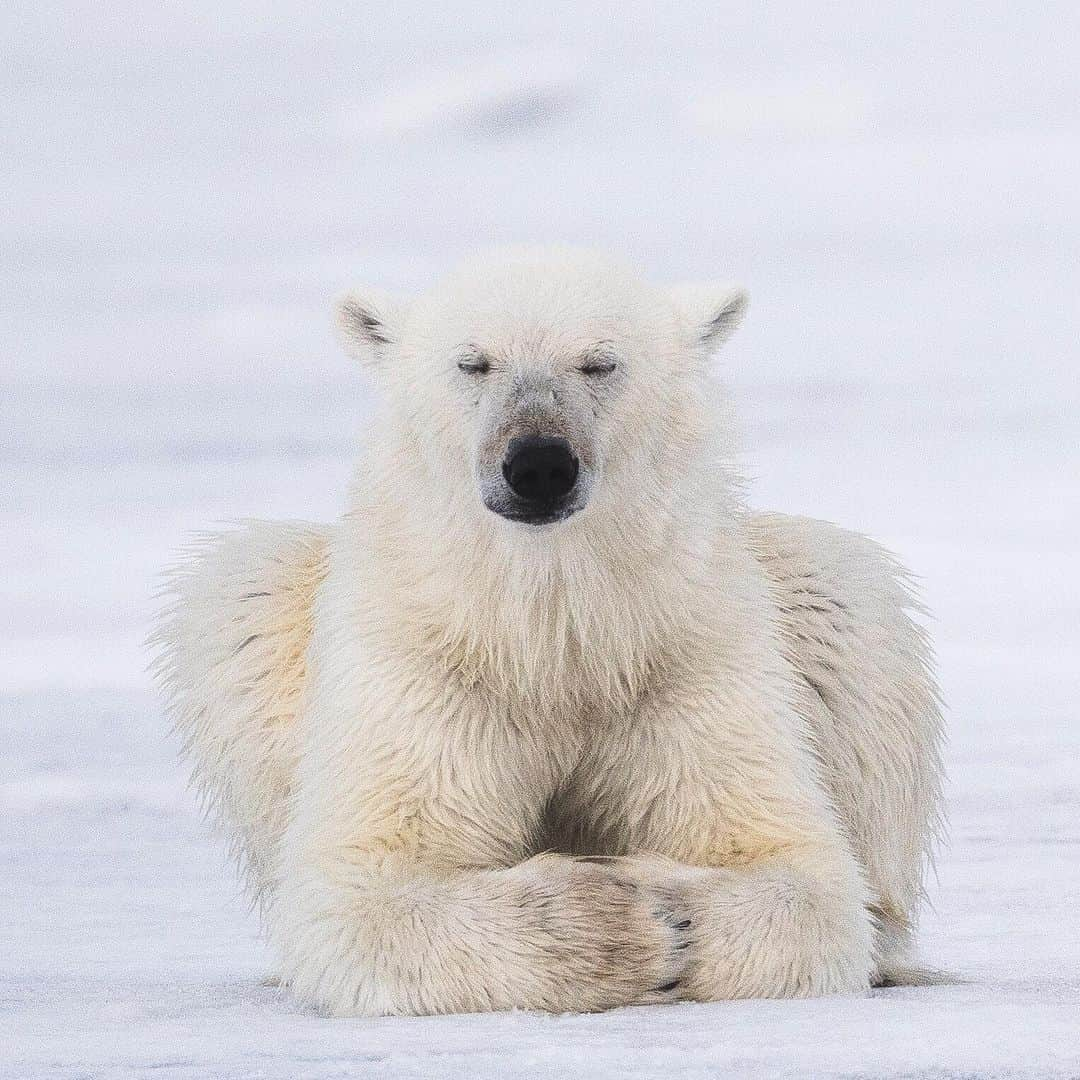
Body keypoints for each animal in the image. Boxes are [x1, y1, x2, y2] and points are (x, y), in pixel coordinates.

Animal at [154, 248, 946, 1015]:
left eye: (599, 363)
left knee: (846, 596)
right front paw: (612, 923)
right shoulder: (426, 663)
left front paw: (667, 910)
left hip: (811, 598)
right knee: (241, 588)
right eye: (473, 362)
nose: (538, 464)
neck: (551, 638)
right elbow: (369, 882)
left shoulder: (685, 653)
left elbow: (793, 866)